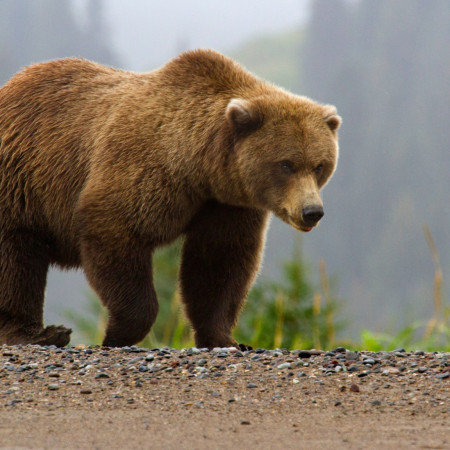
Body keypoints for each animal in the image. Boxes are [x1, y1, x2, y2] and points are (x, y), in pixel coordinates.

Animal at [0, 50, 340, 348]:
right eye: (286, 164)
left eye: (320, 165)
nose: (312, 211)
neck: (200, 168)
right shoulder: (143, 170)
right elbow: (115, 231)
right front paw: (117, 333)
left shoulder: (226, 204)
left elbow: (218, 263)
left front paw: (225, 339)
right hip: (21, 182)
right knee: (16, 262)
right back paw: (37, 334)